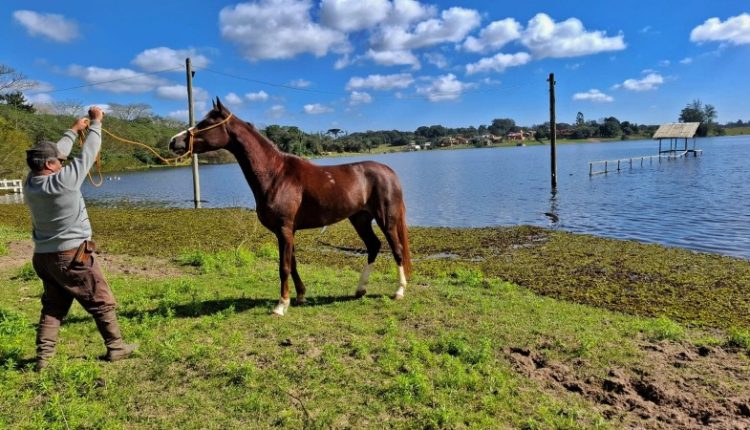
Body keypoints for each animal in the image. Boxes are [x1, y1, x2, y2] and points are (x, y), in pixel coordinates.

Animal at [170, 99, 412, 318]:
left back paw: (399, 291)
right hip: (360, 219)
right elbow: (293, 263)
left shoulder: (284, 229)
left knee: (396, 249)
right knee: (373, 246)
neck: (276, 174)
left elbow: (283, 267)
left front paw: (280, 305)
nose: (174, 141)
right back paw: (360, 289)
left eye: (206, 122)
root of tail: (388, 171)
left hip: (386, 219)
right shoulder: (287, 231)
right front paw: (300, 296)